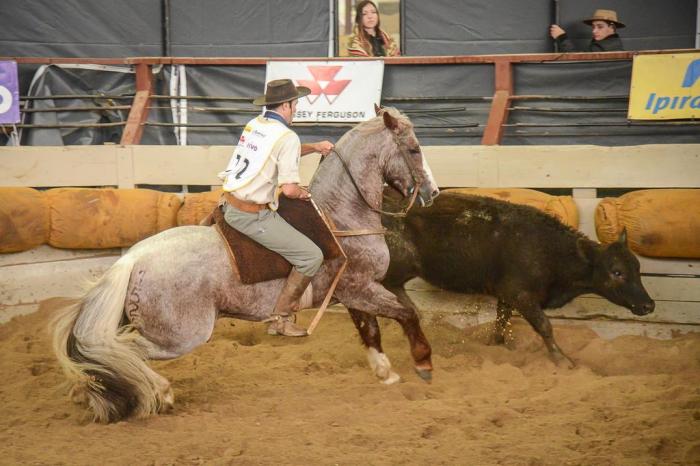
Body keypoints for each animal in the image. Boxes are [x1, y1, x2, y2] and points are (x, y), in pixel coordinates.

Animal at [53, 107, 438, 424]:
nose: (432, 192)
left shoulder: (351, 292)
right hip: (180, 337)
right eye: (414, 150)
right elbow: (407, 313)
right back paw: (157, 392)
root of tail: (132, 260)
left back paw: (88, 393)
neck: (339, 218)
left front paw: (385, 372)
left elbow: (370, 330)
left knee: (101, 354)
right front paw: (423, 363)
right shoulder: (361, 288)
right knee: (124, 352)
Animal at [380, 191, 652, 366]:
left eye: (637, 268)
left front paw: (497, 345)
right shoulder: (521, 295)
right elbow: (544, 325)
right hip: (395, 265)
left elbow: (501, 321)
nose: (649, 305)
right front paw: (562, 360)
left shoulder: (506, 295)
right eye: (617, 272)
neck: (550, 251)